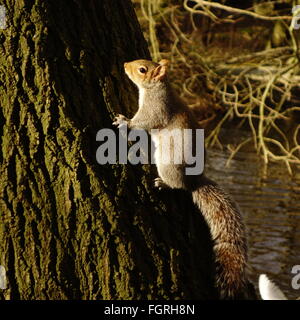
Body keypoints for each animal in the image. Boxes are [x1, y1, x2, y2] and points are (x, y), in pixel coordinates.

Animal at [112, 58, 248, 300]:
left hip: (167, 165)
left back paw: (164, 184)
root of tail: (194, 181)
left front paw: (125, 121)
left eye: (142, 70)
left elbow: (144, 122)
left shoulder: (156, 110)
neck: (157, 89)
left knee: (178, 186)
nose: (126, 64)